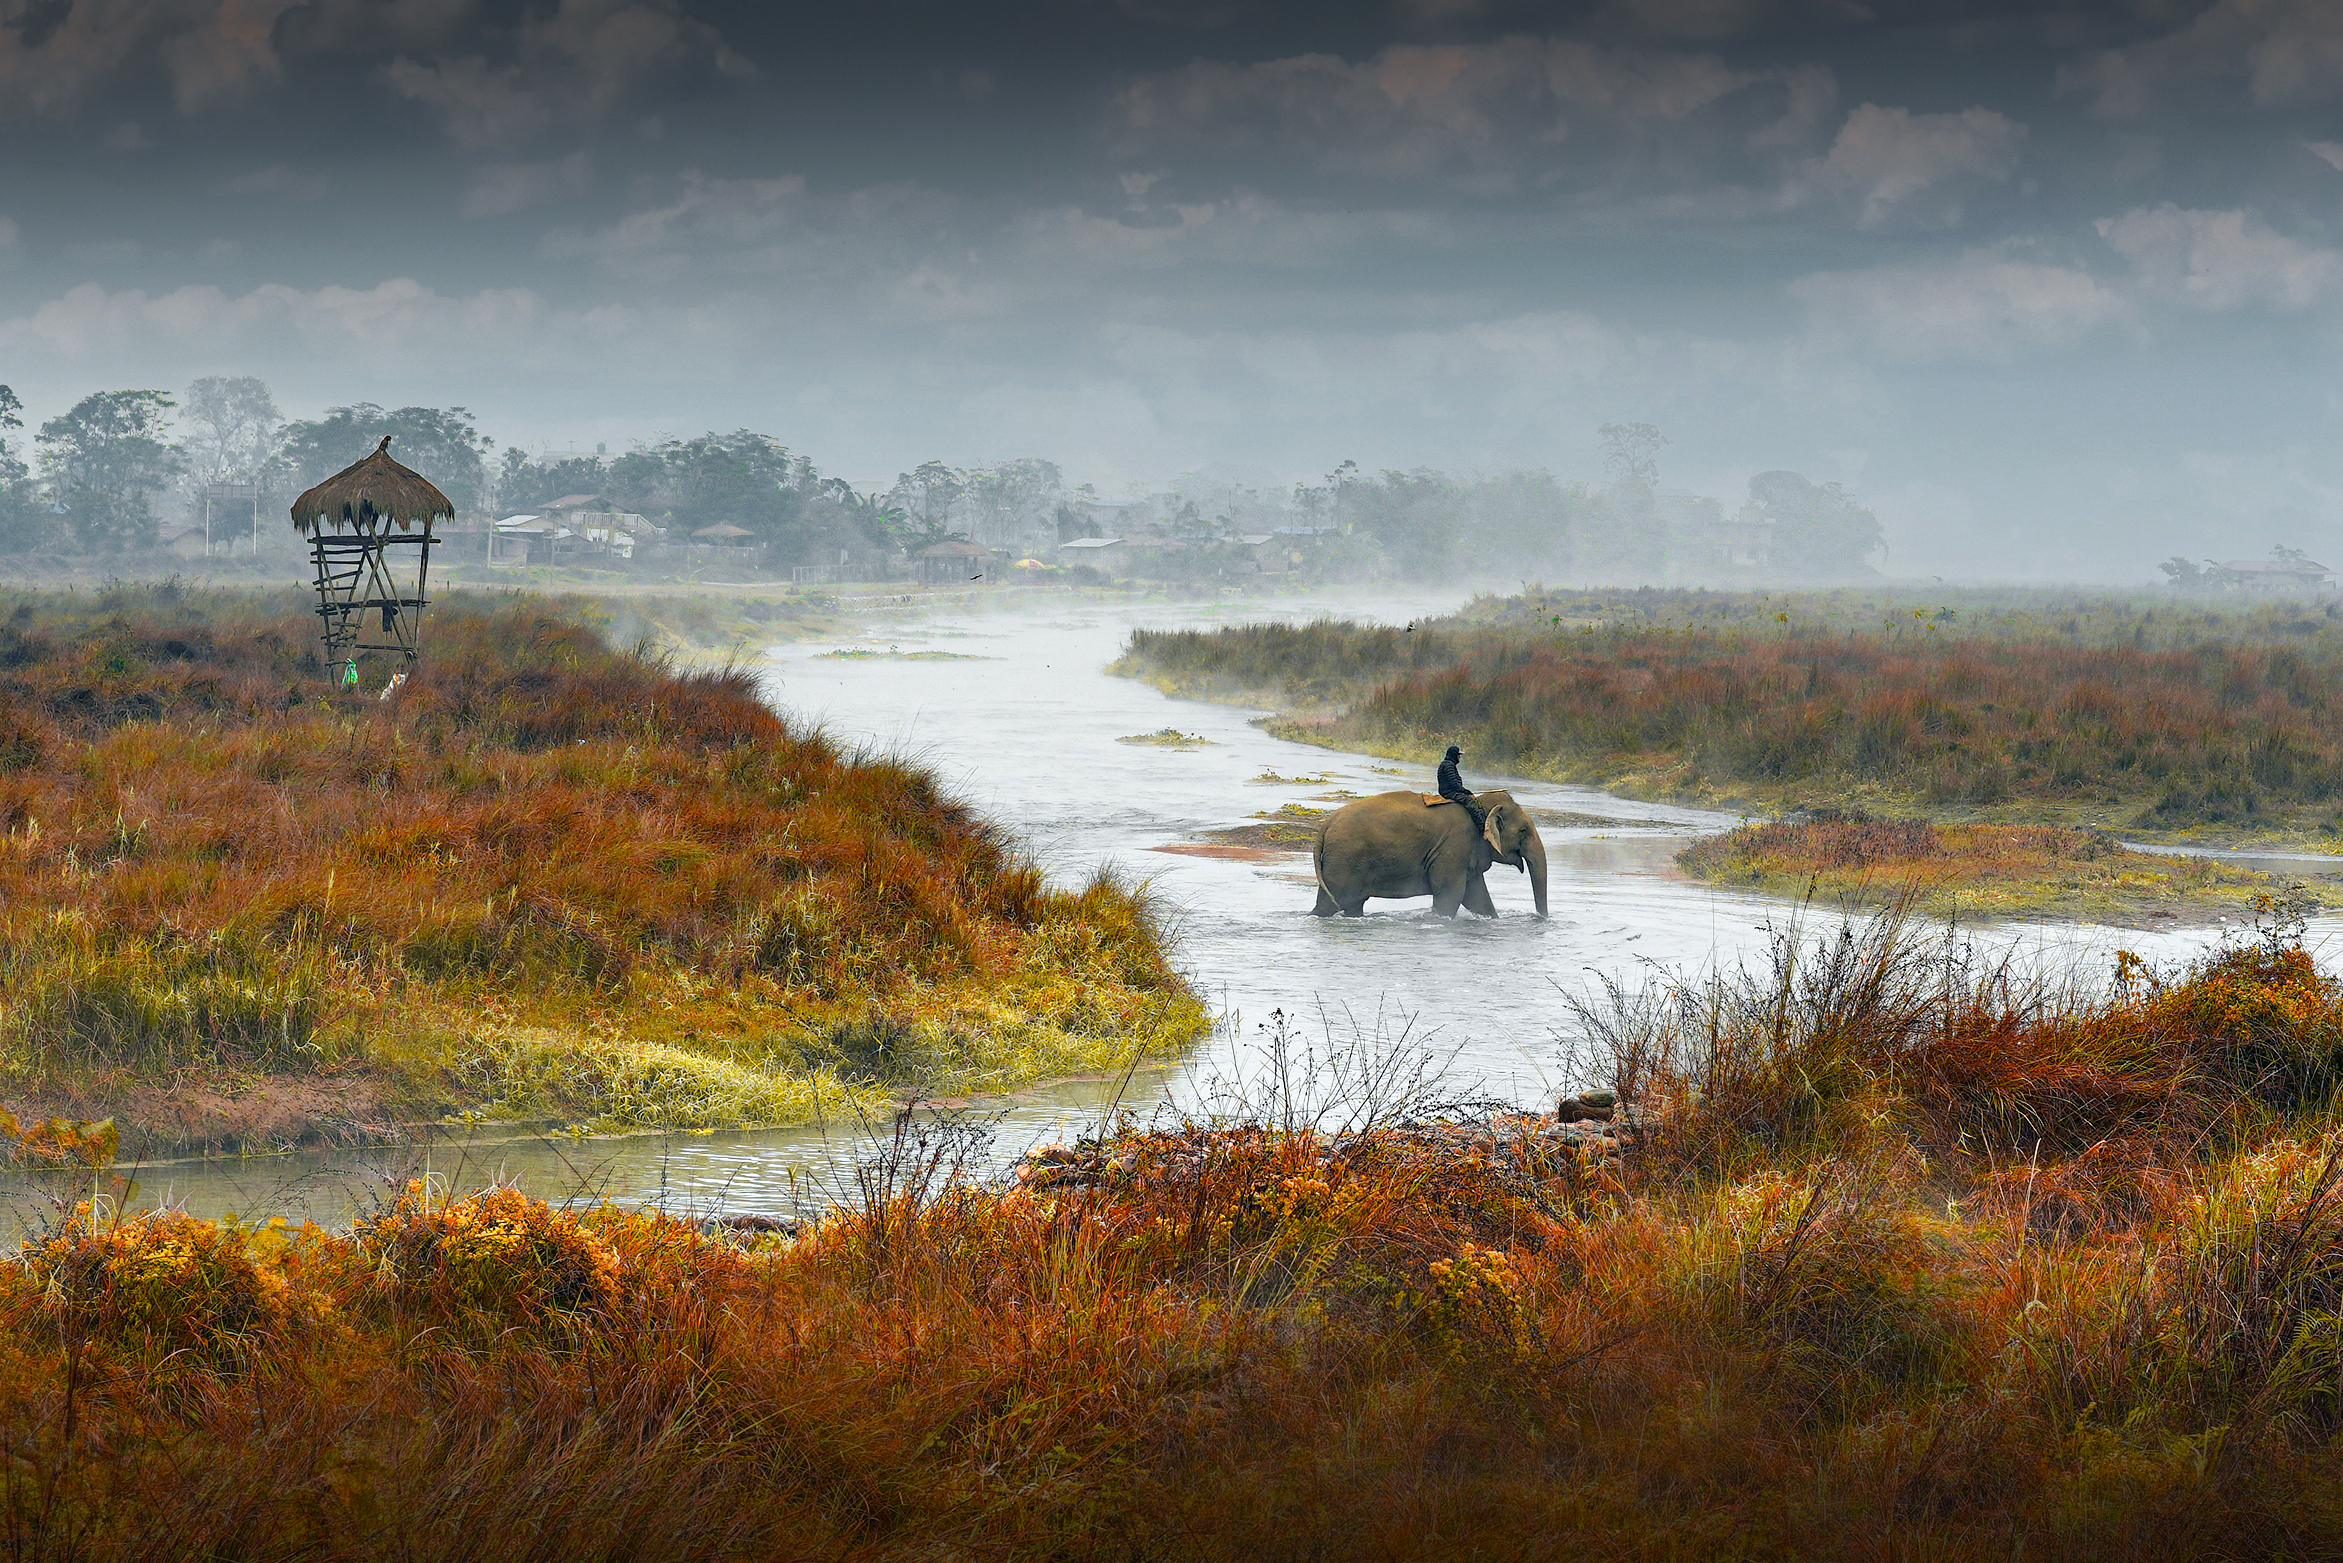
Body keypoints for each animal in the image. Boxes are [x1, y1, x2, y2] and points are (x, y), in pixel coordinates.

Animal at [1310, 789, 1549, 919]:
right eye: (1523, 831)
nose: (1541, 918)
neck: (1480, 804)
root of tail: (1326, 825)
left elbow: (1477, 898)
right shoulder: (1453, 846)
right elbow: (1450, 894)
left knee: (1349, 904)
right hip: (1344, 861)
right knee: (1330, 904)